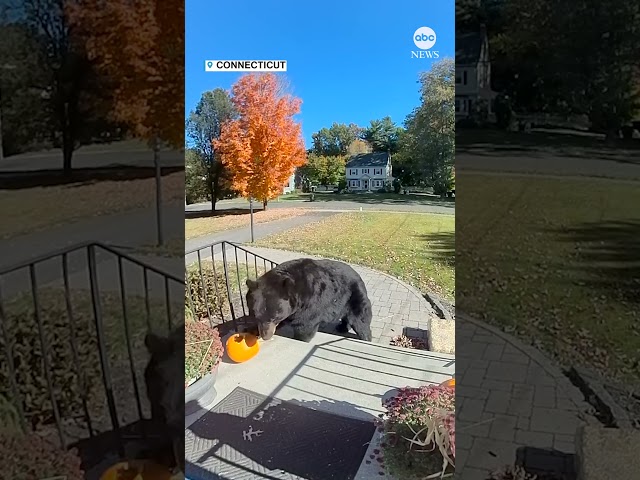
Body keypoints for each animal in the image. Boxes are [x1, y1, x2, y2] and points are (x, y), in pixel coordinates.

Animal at [246, 258, 376, 342]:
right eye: (255, 316)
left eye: (274, 317)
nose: (265, 336)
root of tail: (359, 276)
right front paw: (252, 331)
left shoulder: (311, 302)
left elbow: (305, 325)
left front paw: (301, 338)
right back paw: (342, 327)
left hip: (355, 297)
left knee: (361, 321)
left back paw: (366, 338)